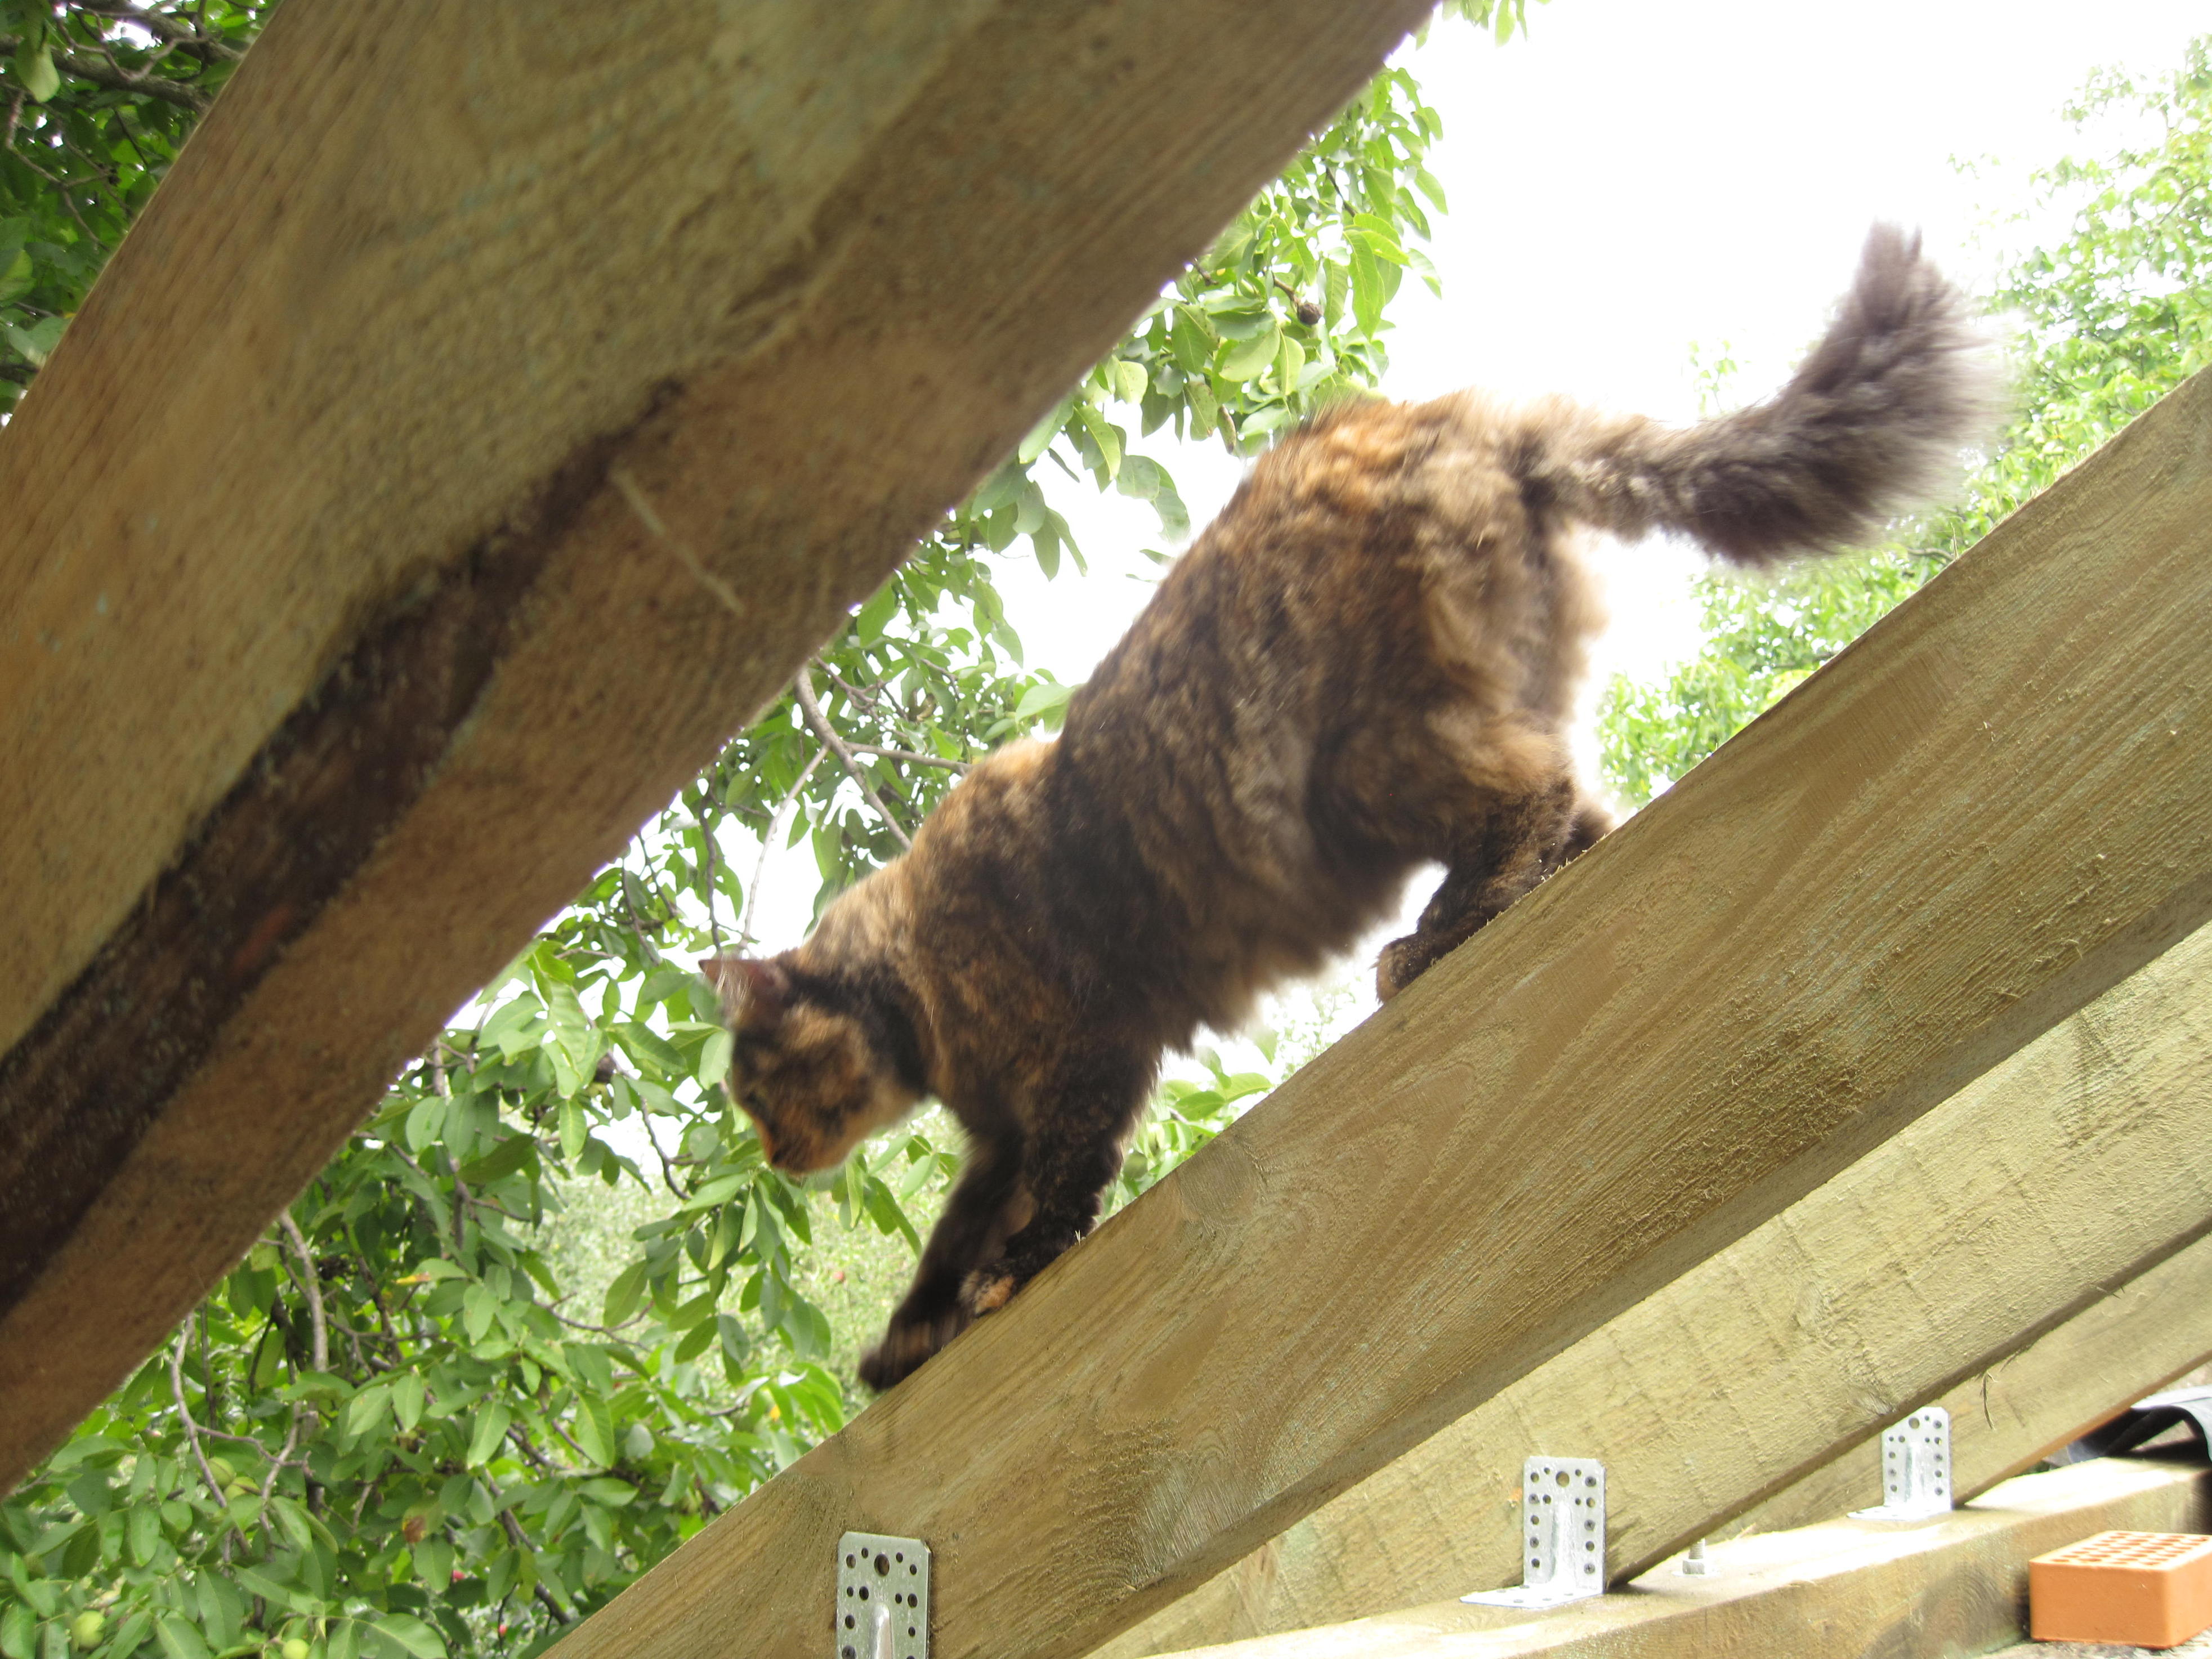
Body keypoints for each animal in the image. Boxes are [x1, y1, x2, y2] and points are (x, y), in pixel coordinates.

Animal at [709, 225, 1992, 1390]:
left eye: (755, 1089)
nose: (773, 1155)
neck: (917, 994)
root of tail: (1460, 416)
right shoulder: (996, 1132)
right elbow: (950, 1231)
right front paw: (906, 1337)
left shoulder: (1082, 1060)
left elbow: (1049, 1197)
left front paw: (1004, 1276)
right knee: (1578, 809)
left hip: (1370, 764)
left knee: (1527, 801)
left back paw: (1431, 939)